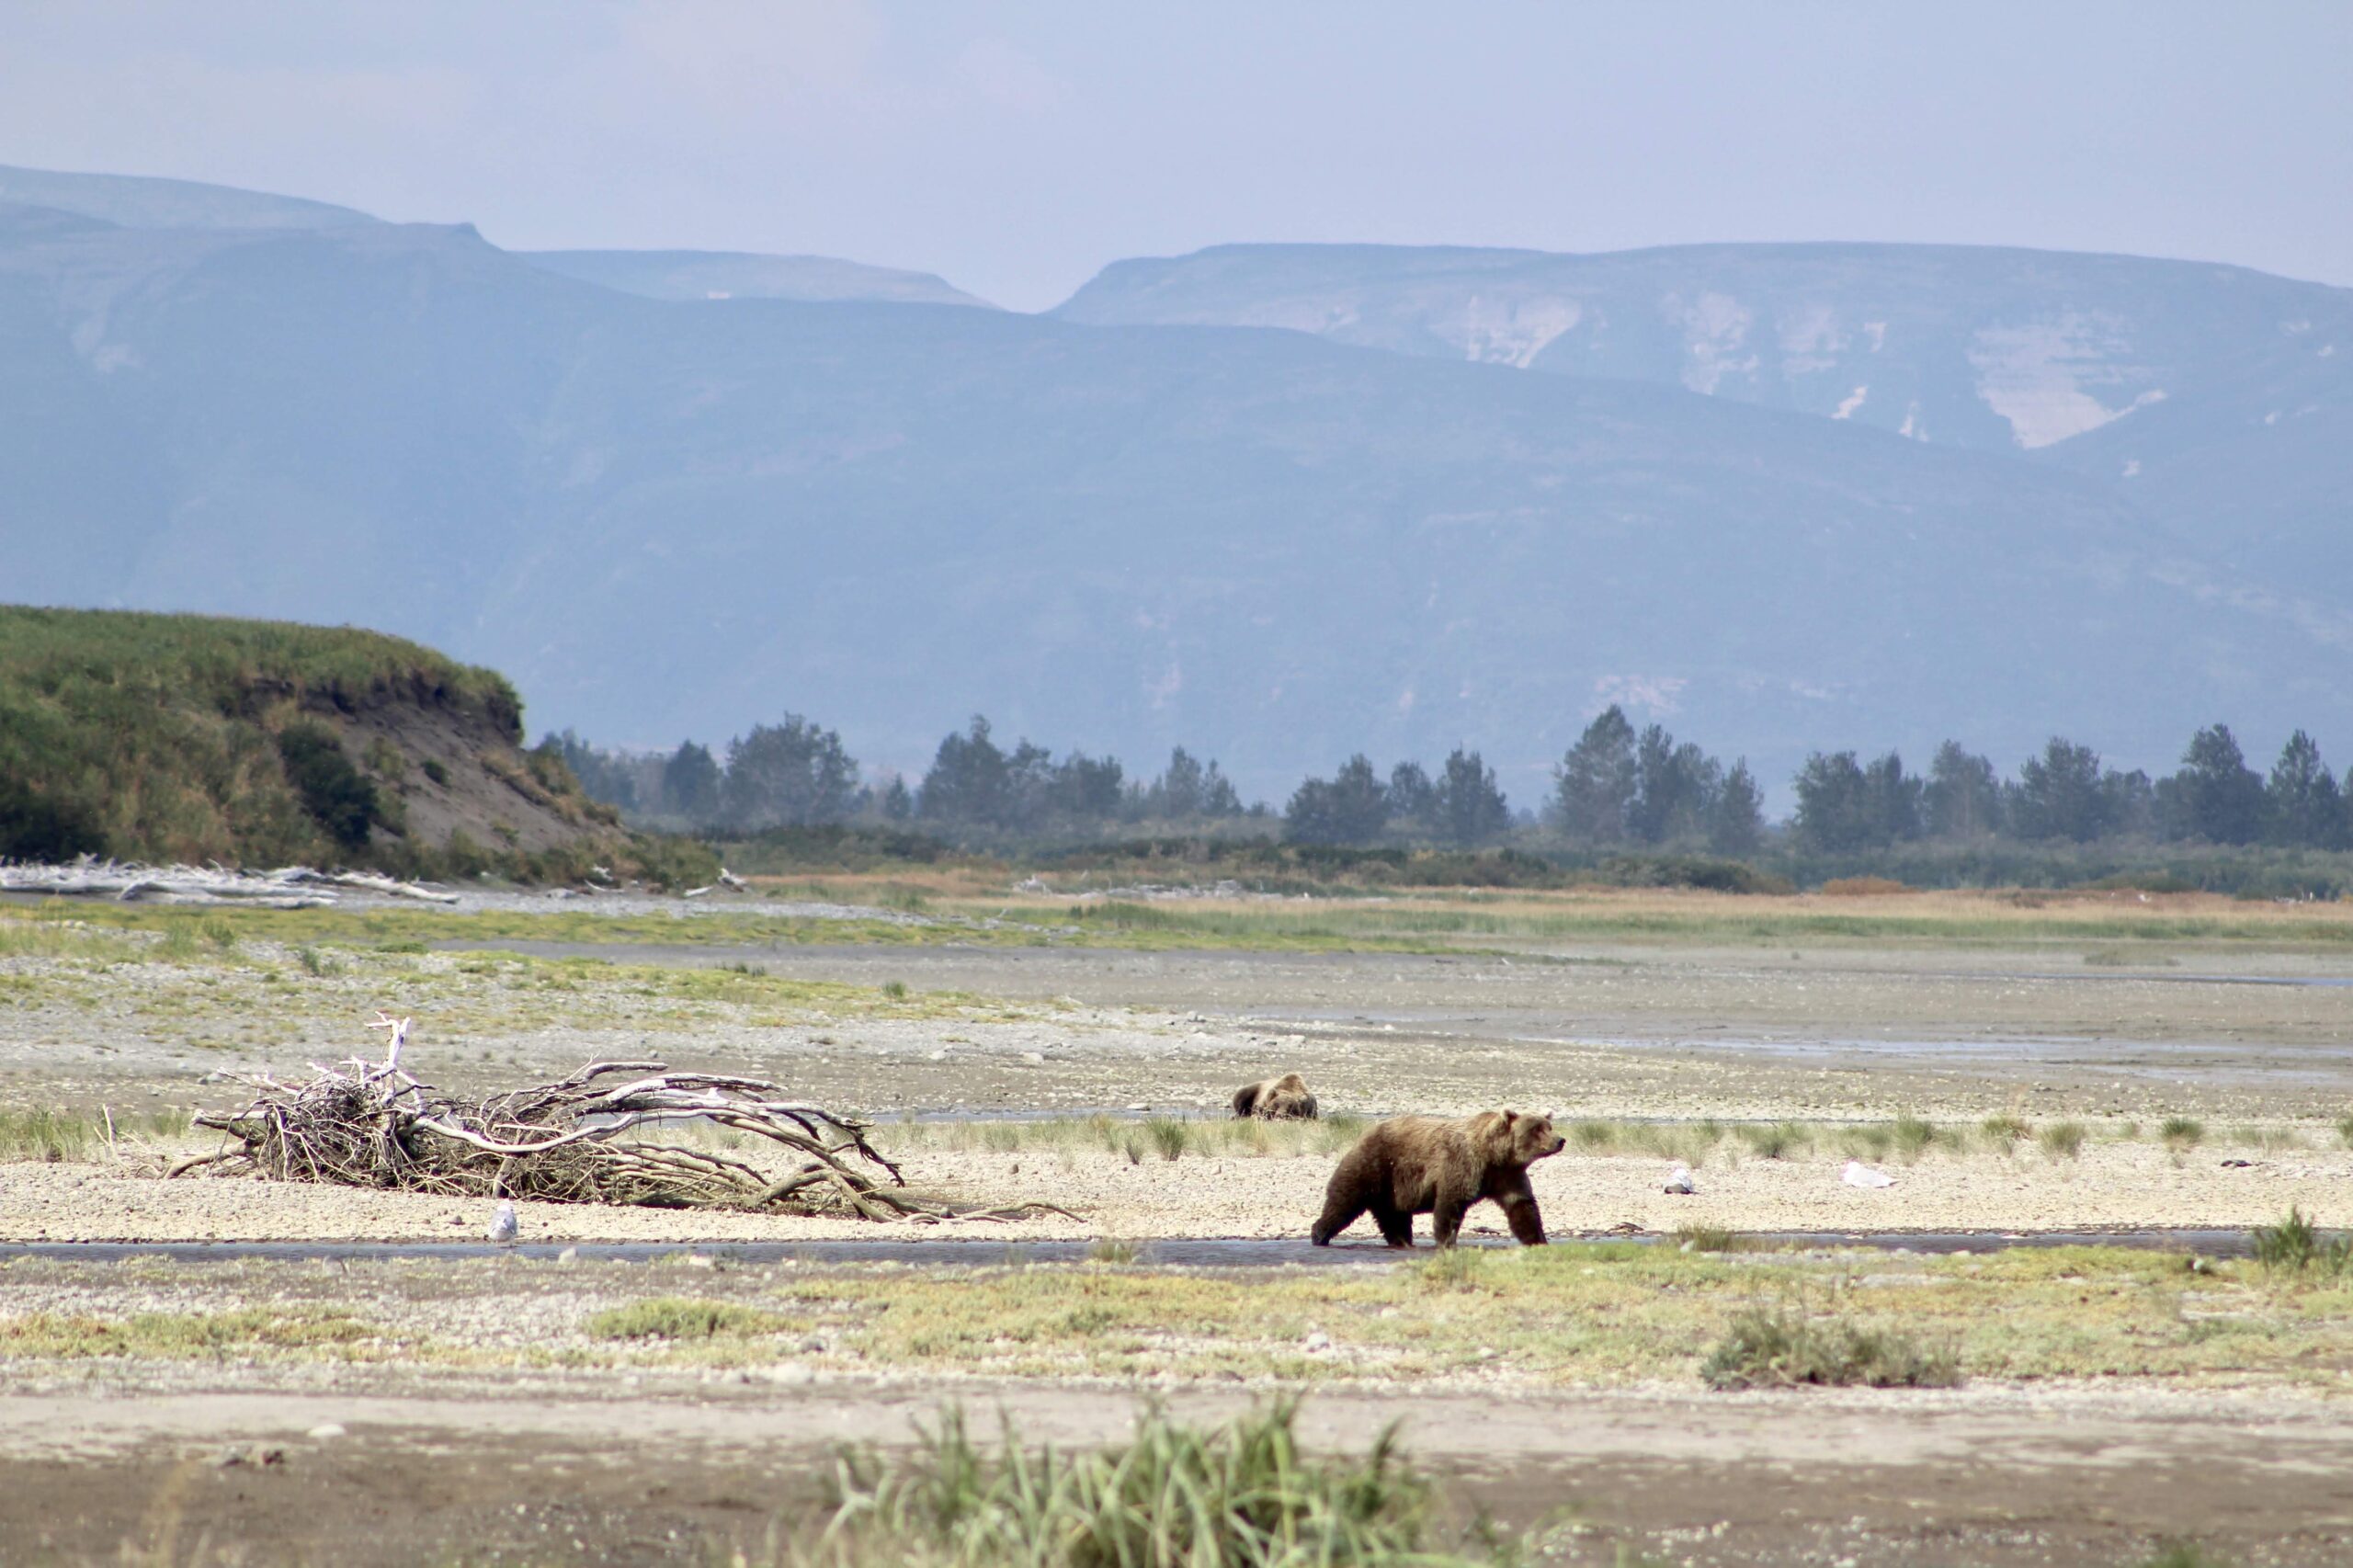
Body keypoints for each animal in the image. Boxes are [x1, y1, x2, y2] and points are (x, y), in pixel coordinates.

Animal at [1309, 1108, 1564, 1248]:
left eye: (1549, 1126)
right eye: (1537, 1129)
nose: (1560, 1140)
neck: (1494, 1155)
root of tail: (1364, 1134)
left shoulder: (1508, 1175)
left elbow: (1522, 1207)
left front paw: (1538, 1240)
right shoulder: (1463, 1163)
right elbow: (1450, 1204)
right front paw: (1447, 1242)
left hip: (1393, 1188)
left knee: (1394, 1216)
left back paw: (1402, 1241)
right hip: (1376, 1165)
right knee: (1344, 1200)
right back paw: (1319, 1234)